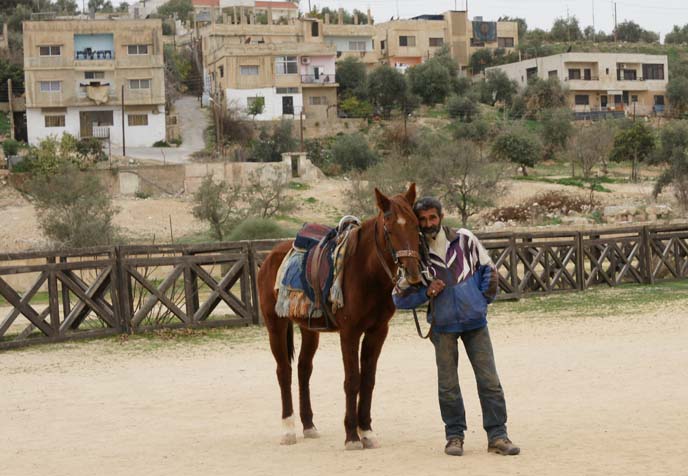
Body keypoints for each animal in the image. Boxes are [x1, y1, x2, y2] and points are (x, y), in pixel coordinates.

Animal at [256, 183, 422, 450]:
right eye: (389, 228)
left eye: (416, 225)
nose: (413, 274)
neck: (365, 272)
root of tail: (271, 256)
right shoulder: (350, 332)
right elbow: (352, 379)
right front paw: (352, 436)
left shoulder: (378, 331)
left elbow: (368, 380)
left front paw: (367, 431)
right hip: (276, 326)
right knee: (284, 371)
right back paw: (288, 429)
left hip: (309, 330)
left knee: (303, 369)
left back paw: (309, 425)